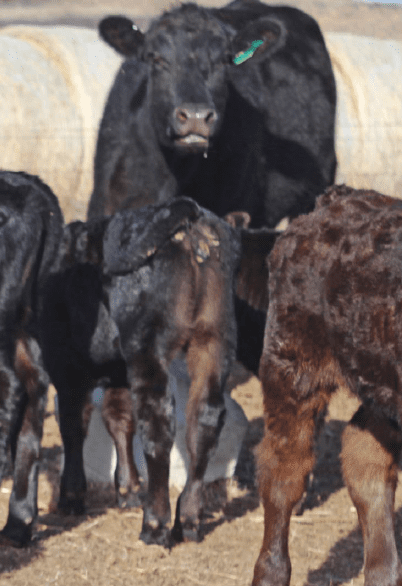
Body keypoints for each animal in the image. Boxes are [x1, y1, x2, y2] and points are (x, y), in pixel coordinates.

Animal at [41, 198, 240, 544]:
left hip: (147, 343)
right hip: (215, 336)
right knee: (205, 417)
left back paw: (156, 523)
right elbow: (118, 418)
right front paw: (128, 489)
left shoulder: (65, 364)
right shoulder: (116, 370)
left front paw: (72, 497)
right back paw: (188, 519)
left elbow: (74, 424)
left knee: (158, 422)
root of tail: (188, 211)